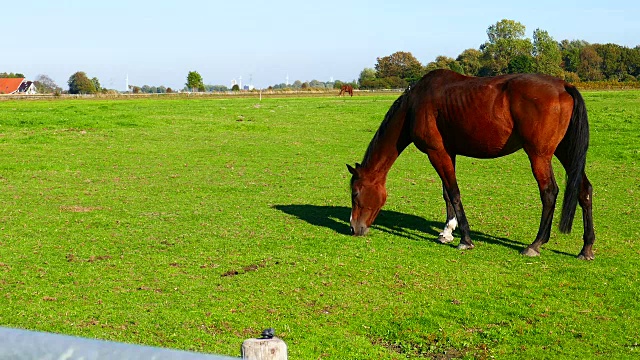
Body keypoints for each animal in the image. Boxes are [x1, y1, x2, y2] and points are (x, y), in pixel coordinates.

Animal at [350, 68, 596, 258]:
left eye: (355, 193)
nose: (353, 227)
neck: (414, 105)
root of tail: (564, 86)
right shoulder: (448, 153)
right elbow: (446, 193)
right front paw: (447, 231)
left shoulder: (436, 153)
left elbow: (454, 193)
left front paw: (465, 239)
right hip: (565, 152)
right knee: (584, 190)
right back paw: (586, 248)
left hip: (539, 155)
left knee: (549, 192)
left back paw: (535, 244)